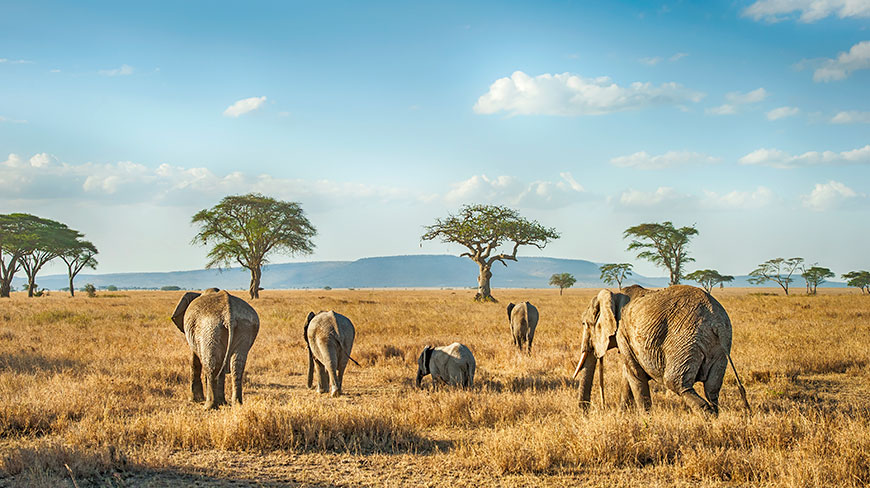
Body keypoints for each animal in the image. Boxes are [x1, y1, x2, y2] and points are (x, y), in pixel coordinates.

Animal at [572, 285, 749, 415]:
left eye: (584, 324)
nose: (585, 413)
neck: (613, 295)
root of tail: (716, 323)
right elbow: (628, 375)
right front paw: (623, 416)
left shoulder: (623, 332)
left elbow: (634, 374)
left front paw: (646, 420)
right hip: (721, 346)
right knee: (712, 388)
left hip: (685, 340)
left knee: (677, 383)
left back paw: (707, 418)